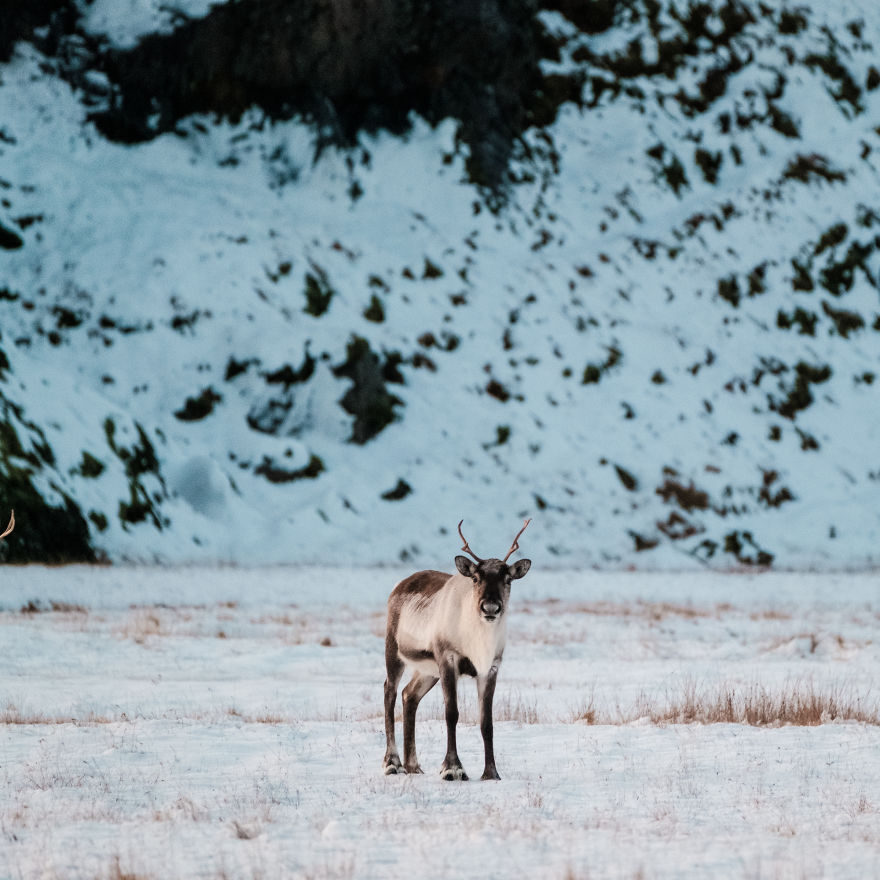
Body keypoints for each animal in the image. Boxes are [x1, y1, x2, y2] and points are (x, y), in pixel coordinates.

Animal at [383, 518, 531, 781]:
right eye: (476, 578)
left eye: (508, 579)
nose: (490, 607)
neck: (479, 642)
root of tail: (400, 584)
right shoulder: (447, 658)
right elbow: (452, 713)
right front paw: (452, 768)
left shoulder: (490, 668)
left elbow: (486, 722)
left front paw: (491, 772)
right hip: (394, 651)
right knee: (389, 692)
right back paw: (393, 763)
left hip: (427, 671)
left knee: (409, 695)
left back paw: (413, 765)